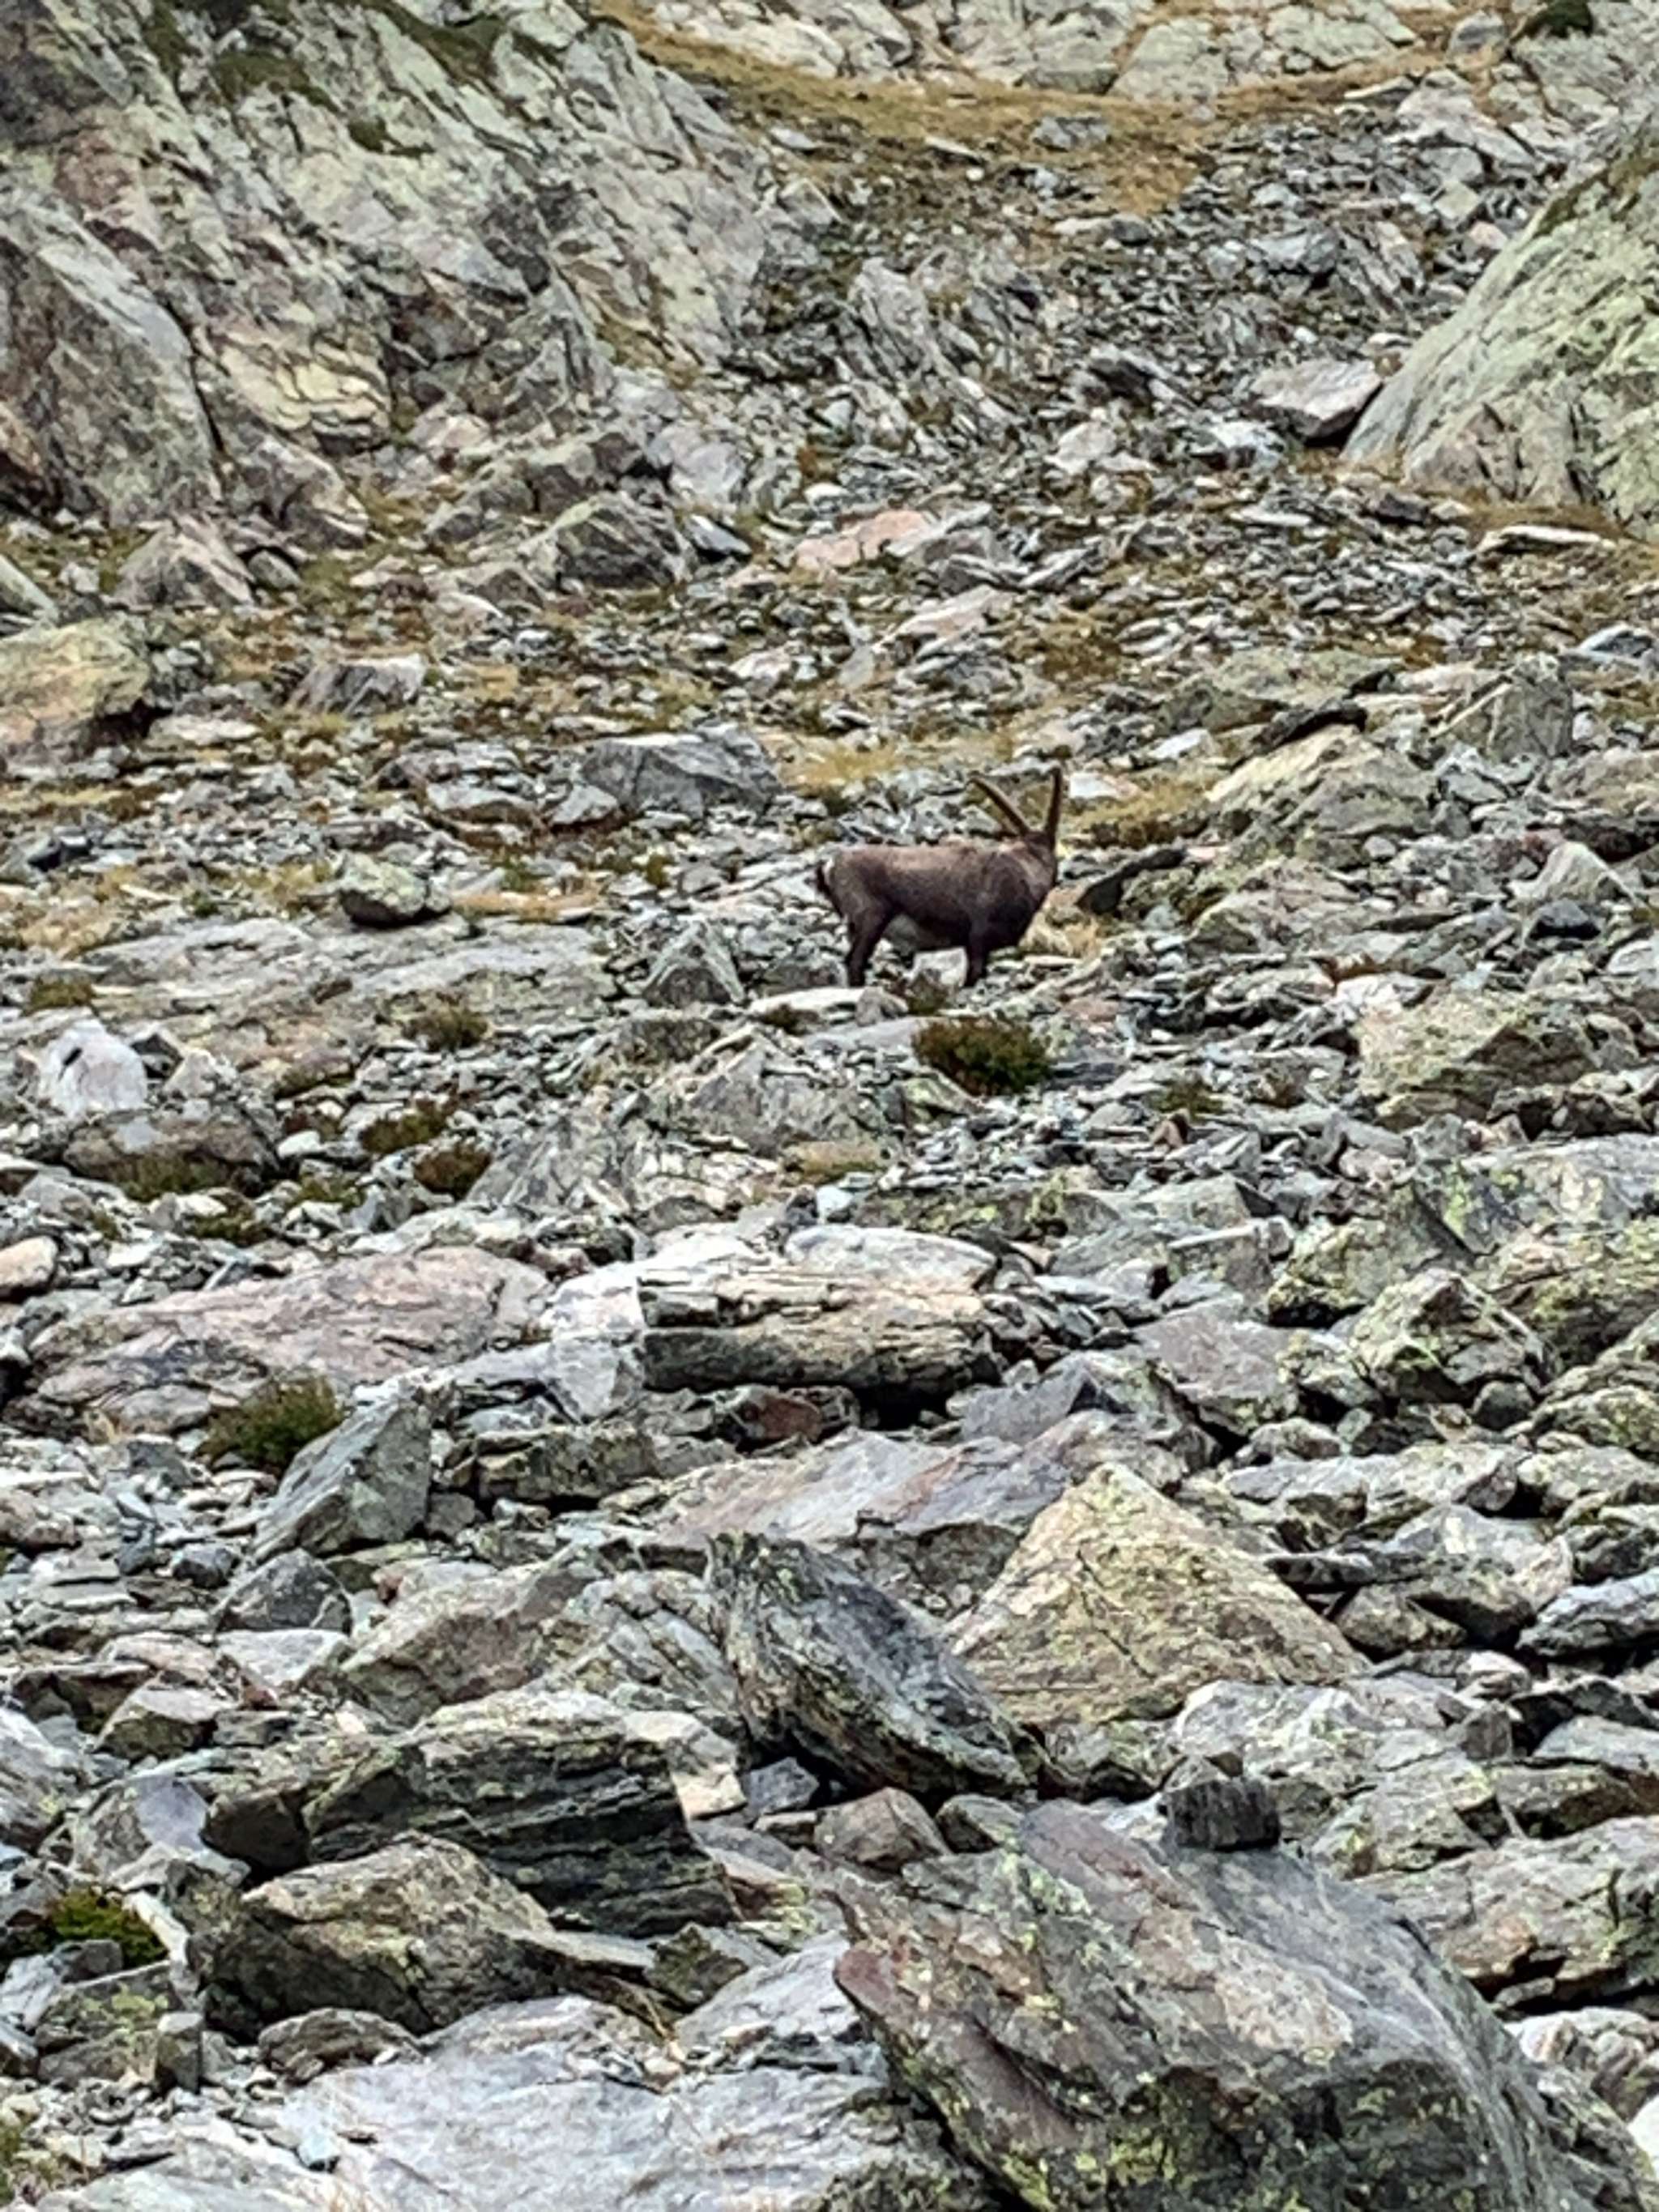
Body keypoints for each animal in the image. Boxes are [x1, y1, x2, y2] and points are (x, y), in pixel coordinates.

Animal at [815, 766, 1066, 989]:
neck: (1026, 866)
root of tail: (832, 865)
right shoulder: (978, 937)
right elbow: (974, 972)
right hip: (871, 918)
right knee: (855, 961)